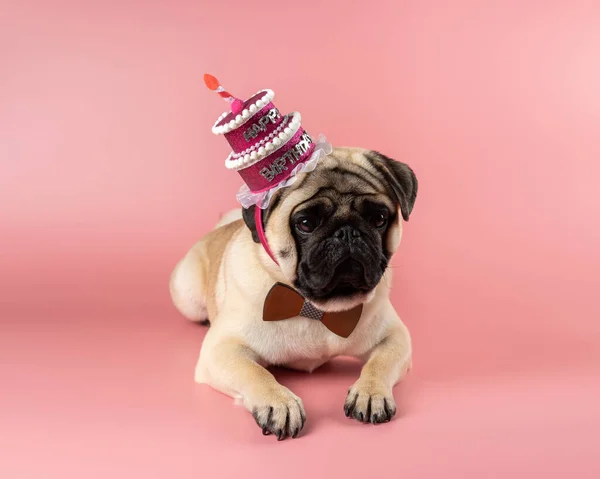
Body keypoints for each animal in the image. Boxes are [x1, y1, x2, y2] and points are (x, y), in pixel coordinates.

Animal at [169, 147, 418, 442]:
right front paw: (279, 403)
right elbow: (255, 372)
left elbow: (380, 362)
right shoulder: (221, 350)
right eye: (306, 223)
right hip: (187, 296)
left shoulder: (396, 337)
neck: (312, 306)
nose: (347, 232)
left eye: (378, 219)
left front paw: (371, 392)